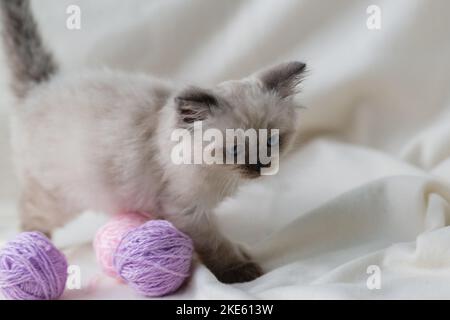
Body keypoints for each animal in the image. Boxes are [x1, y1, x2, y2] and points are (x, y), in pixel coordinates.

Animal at [0, 0, 306, 282]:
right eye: (233, 149)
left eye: (271, 142)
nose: (260, 166)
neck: (217, 177)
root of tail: (42, 86)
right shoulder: (185, 211)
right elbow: (217, 246)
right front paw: (239, 270)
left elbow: (226, 241)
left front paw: (242, 253)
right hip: (59, 198)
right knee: (29, 215)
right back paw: (32, 247)